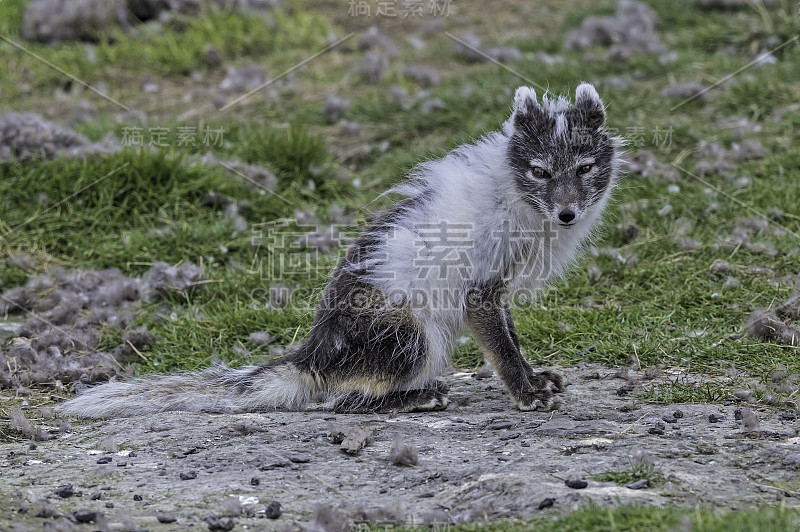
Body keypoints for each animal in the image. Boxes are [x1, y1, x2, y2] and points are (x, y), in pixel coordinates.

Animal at [61, 83, 624, 418]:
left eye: (585, 168)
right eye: (540, 172)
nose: (568, 214)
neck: (515, 196)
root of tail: (314, 356)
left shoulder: (502, 287)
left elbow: (511, 336)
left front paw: (536, 378)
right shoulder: (480, 290)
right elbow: (502, 348)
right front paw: (526, 392)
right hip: (413, 335)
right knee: (342, 400)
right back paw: (420, 396)